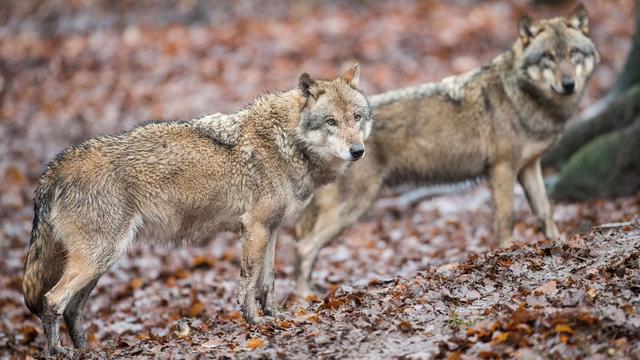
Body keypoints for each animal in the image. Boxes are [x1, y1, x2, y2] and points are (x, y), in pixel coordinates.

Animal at [296, 4, 600, 298]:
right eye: (548, 56)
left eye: (573, 54)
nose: (568, 84)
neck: (520, 97)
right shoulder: (502, 168)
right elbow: (506, 217)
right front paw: (507, 251)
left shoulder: (529, 167)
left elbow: (545, 211)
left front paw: (557, 243)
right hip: (354, 206)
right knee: (304, 247)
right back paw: (304, 297)